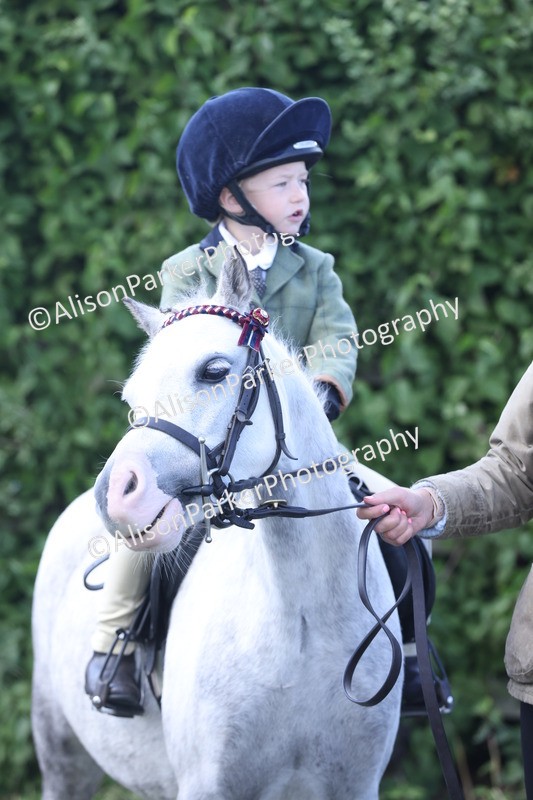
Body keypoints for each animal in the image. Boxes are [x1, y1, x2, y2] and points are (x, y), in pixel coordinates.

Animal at [32, 254, 402, 800]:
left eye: (214, 371)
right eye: (132, 399)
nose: (115, 495)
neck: (301, 618)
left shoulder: (354, 785)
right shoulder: (207, 784)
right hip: (59, 749)